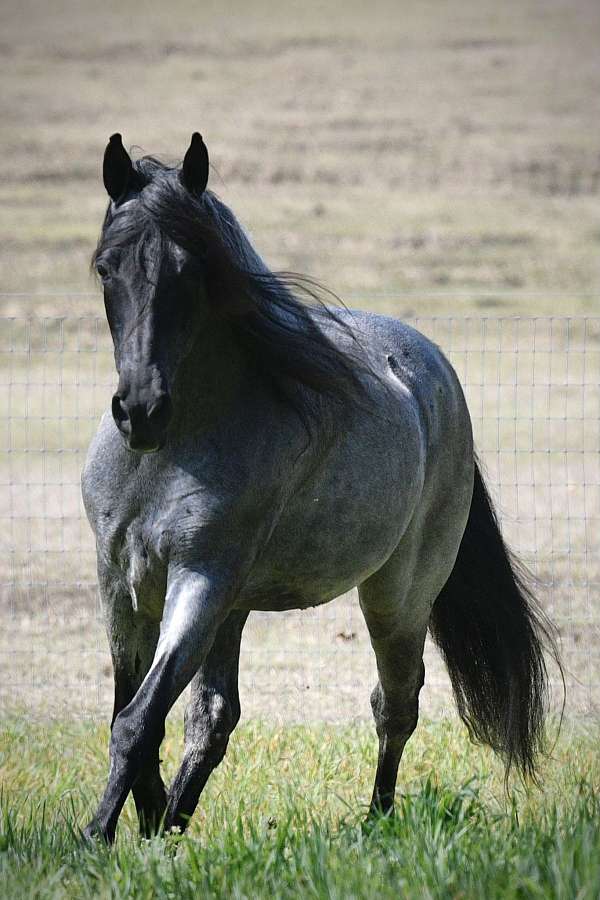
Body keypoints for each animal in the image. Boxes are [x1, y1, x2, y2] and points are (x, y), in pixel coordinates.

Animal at [81, 133, 559, 843]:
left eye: (191, 272)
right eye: (106, 268)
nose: (141, 410)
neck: (167, 456)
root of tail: (436, 376)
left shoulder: (200, 579)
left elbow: (138, 722)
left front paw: (95, 838)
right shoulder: (122, 582)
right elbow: (132, 713)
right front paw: (144, 827)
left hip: (395, 599)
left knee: (396, 703)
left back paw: (377, 823)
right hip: (235, 608)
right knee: (214, 719)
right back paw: (174, 824)